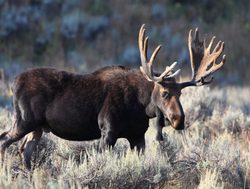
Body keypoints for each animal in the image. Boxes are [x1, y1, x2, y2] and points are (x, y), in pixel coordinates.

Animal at [0, 24, 226, 168]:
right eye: (164, 92)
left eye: (180, 93)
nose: (179, 120)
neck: (141, 106)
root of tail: (14, 82)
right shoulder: (107, 130)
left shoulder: (137, 135)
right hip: (25, 120)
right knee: (4, 139)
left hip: (37, 128)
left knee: (24, 150)